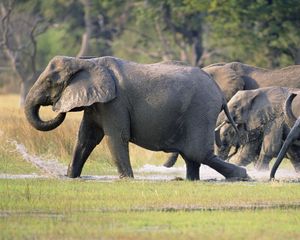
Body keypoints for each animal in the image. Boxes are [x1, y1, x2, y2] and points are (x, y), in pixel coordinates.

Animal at [24, 55, 248, 180]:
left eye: (50, 82)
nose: (58, 109)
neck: (86, 62)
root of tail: (218, 91)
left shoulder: (115, 103)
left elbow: (115, 138)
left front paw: (127, 179)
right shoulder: (98, 103)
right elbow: (86, 138)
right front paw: (70, 177)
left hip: (201, 110)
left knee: (198, 153)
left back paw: (242, 176)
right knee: (192, 156)